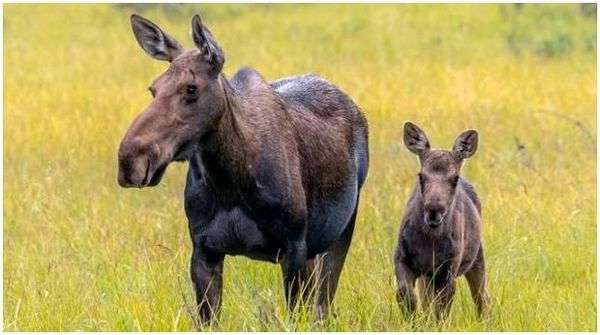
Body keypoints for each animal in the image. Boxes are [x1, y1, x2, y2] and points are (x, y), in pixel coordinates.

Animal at [116, 14, 368, 324]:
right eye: (153, 88)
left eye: (191, 88)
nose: (130, 160)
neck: (230, 182)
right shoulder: (204, 250)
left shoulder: (294, 246)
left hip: (340, 231)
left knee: (323, 306)